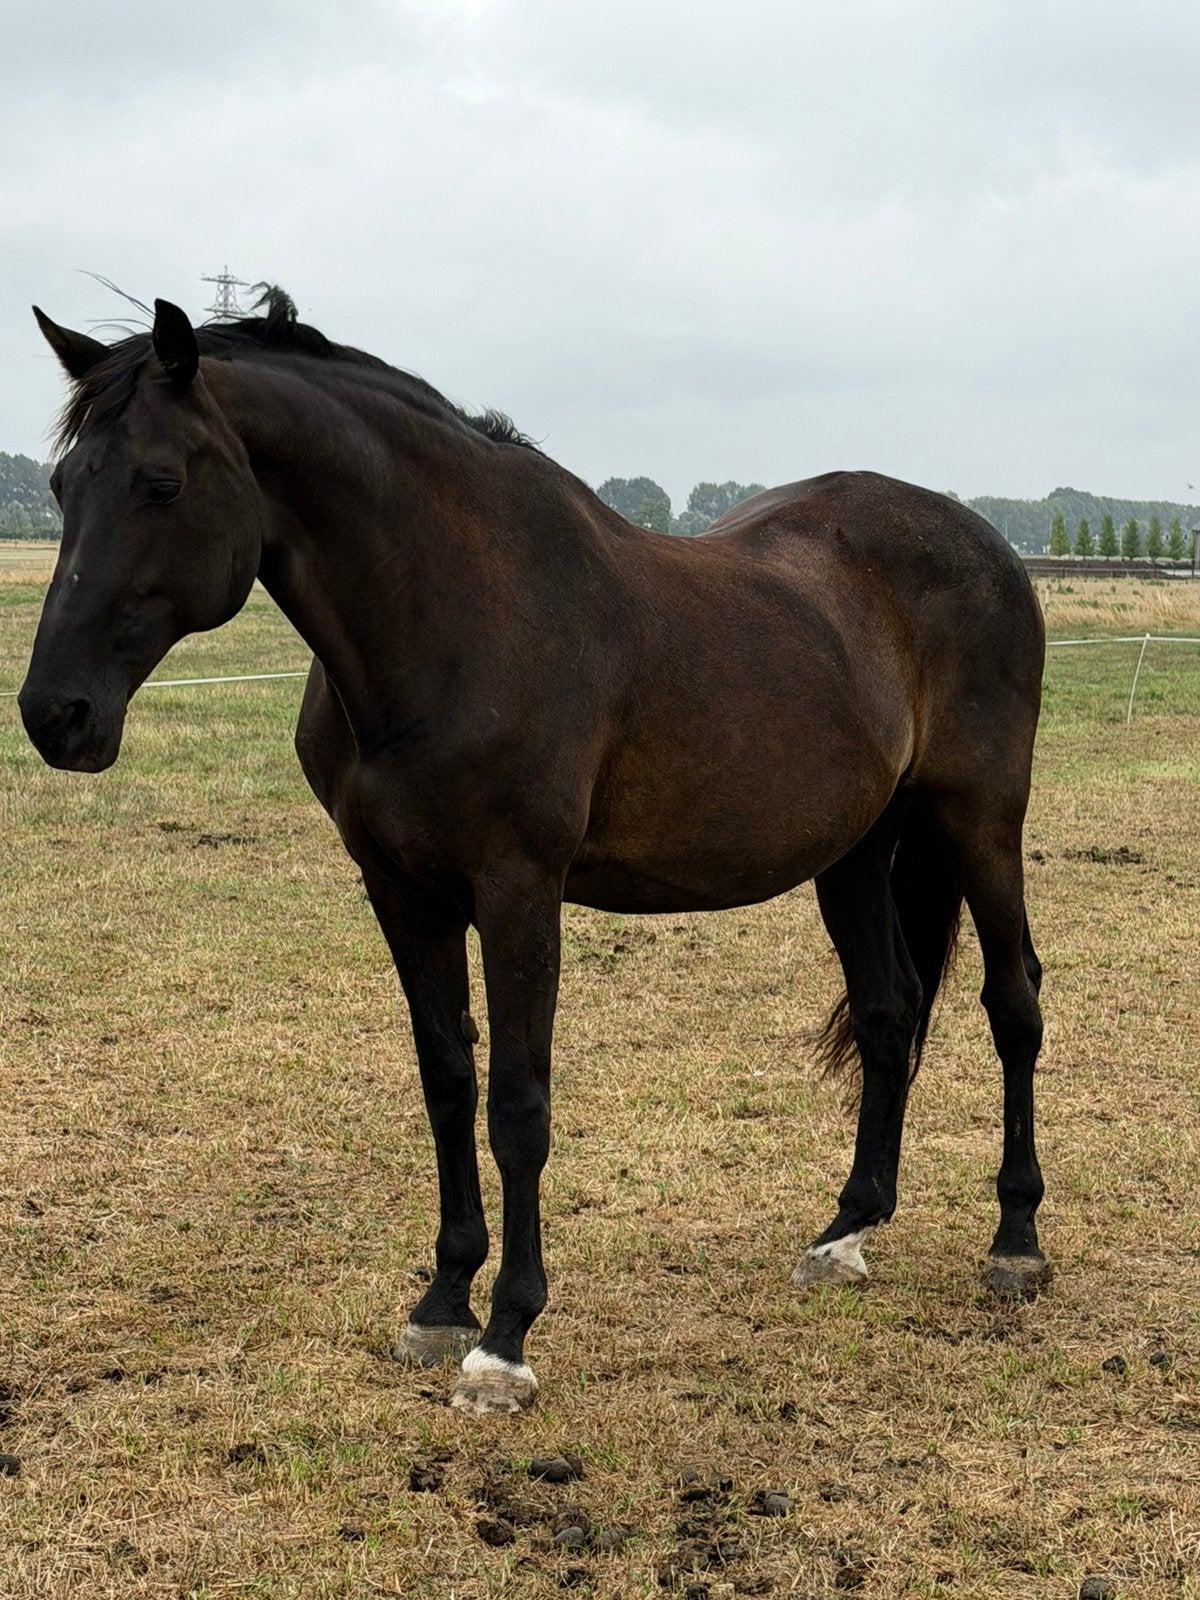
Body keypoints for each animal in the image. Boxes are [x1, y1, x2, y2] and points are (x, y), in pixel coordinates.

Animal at [21, 290, 1048, 1416]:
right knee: (888, 1010)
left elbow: (517, 1103)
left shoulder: (518, 889)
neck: (457, 616)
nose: (55, 714)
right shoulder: (403, 893)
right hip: (857, 851)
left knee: (1013, 1003)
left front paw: (505, 1337)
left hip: (981, 821)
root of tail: (985, 544)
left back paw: (1016, 1240)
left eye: (161, 482)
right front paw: (440, 1302)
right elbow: (447, 1081)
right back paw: (846, 1231)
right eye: (63, 485)